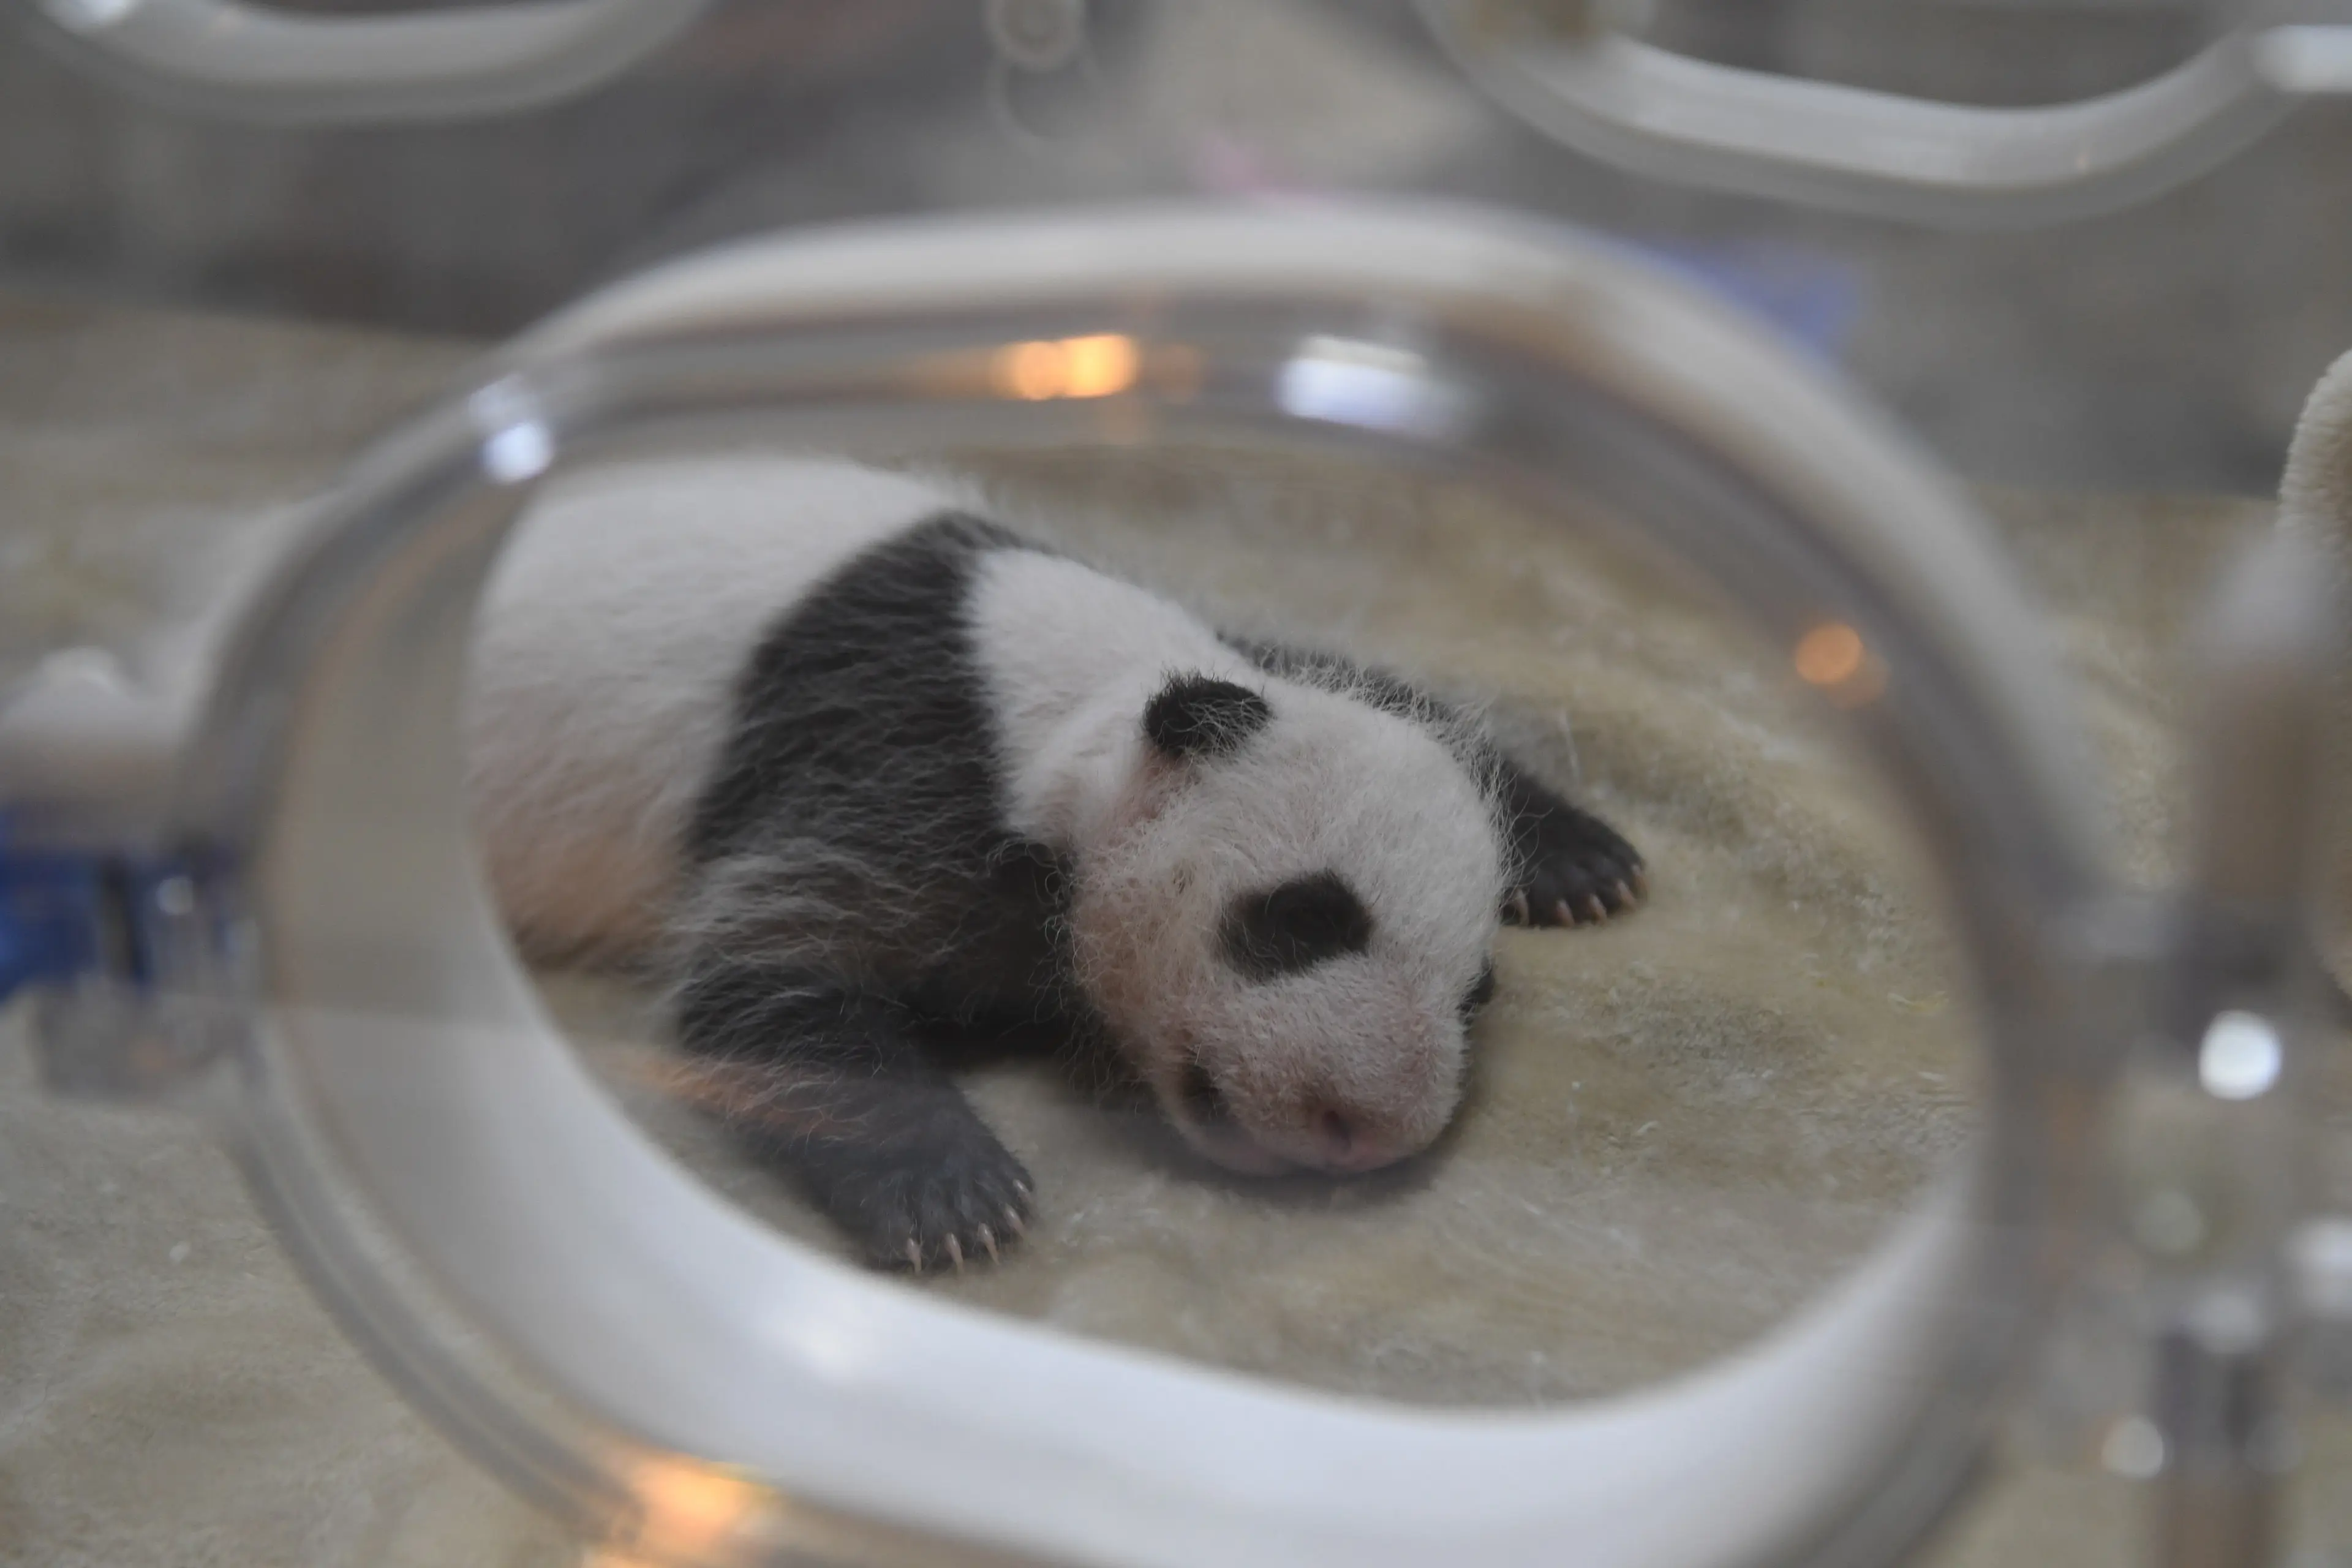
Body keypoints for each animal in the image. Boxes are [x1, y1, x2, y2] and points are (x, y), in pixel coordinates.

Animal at [466, 459, 1644, 1271]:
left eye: (1475, 992)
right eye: (1305, 919)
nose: (1366, 1131)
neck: (1081, 690)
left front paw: (1581, 857)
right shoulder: (896, 765)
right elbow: (765, 969)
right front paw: (954, 1198)